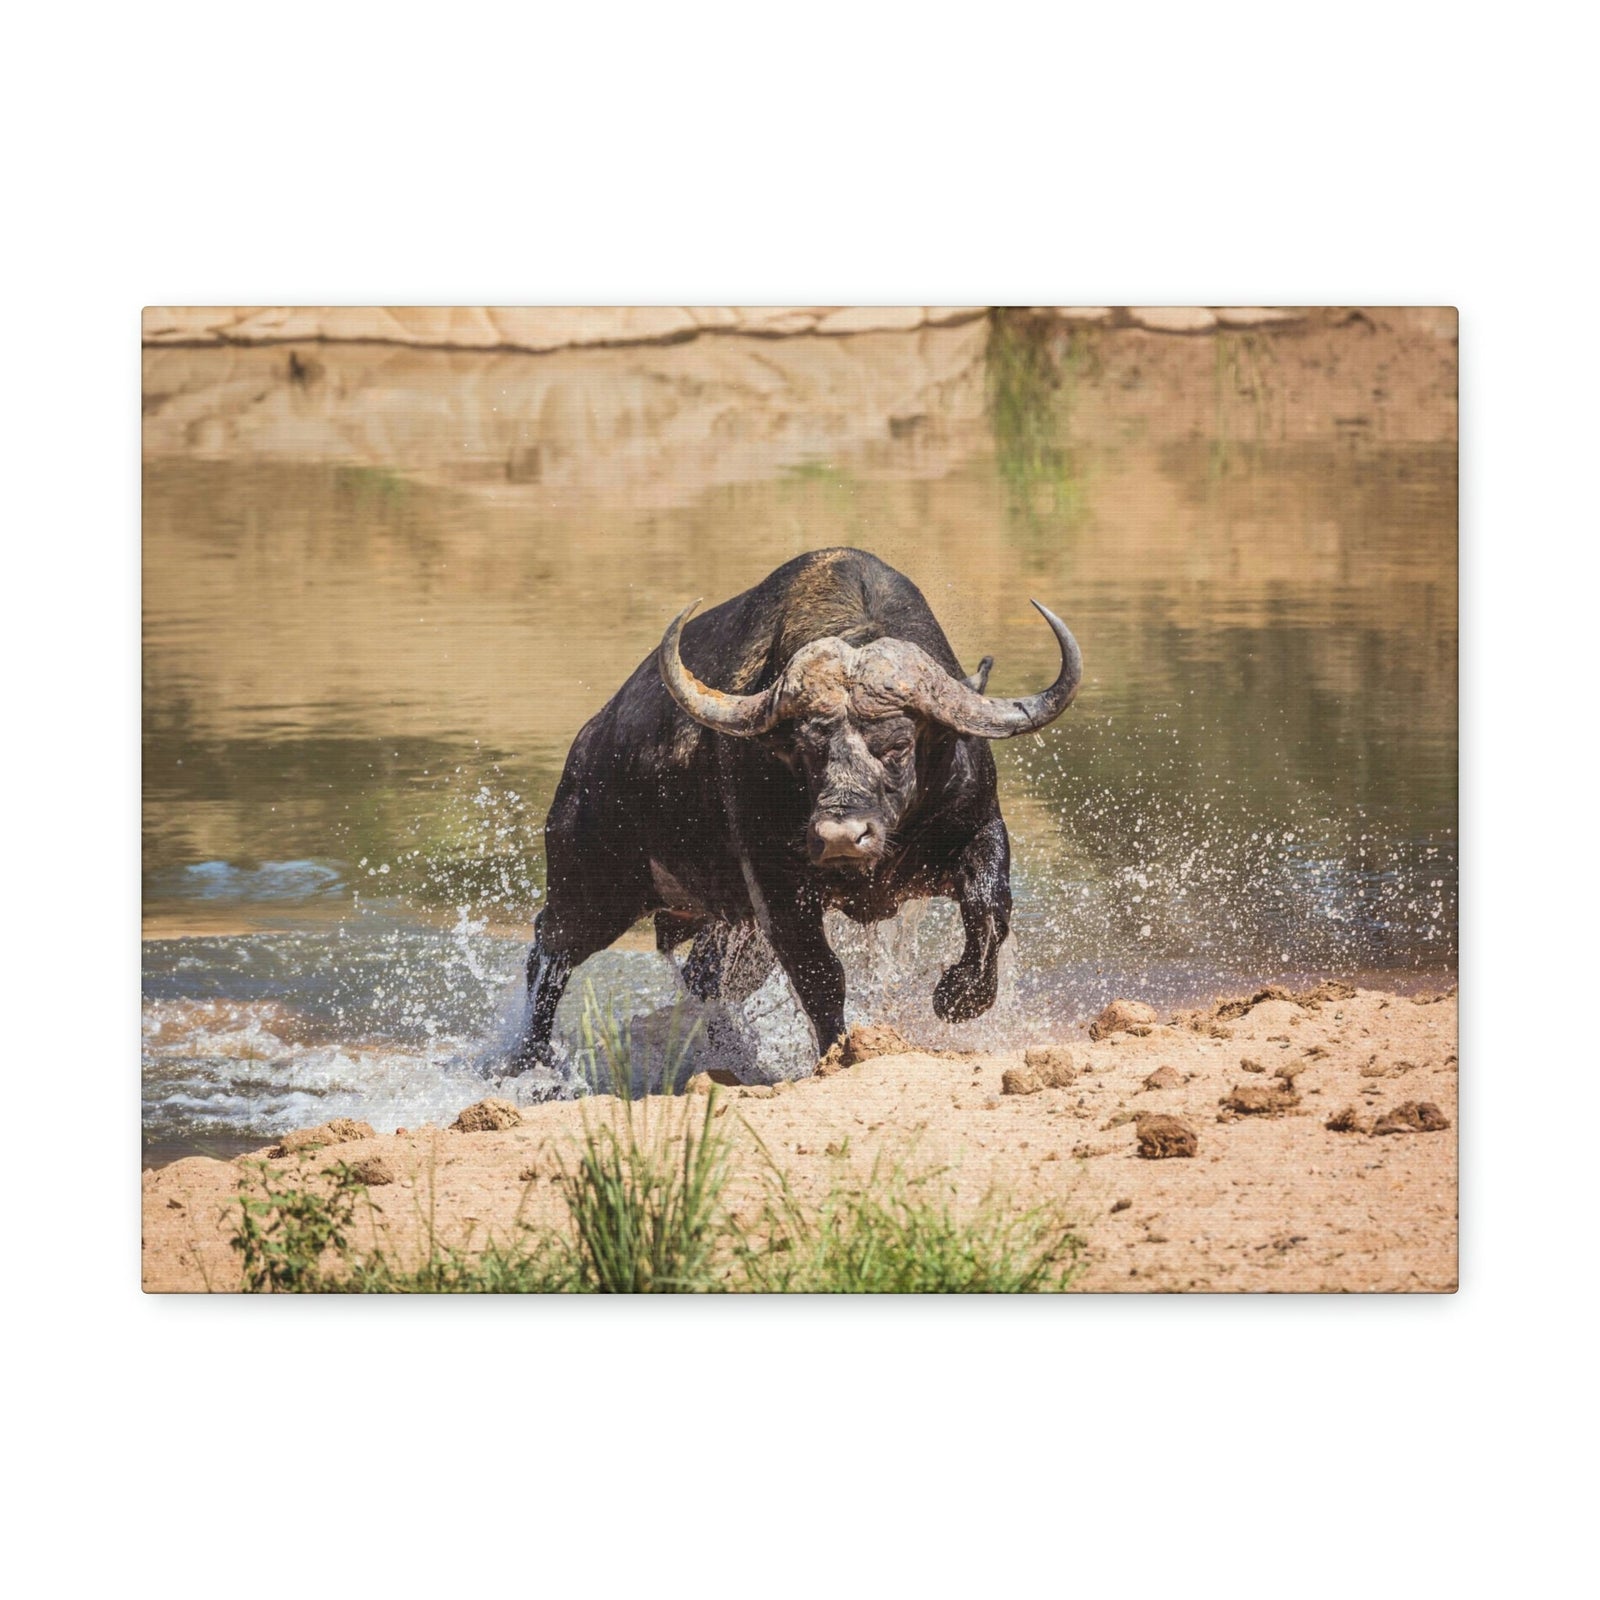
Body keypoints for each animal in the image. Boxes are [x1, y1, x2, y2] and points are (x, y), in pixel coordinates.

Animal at [508, 547, 1081, 1076]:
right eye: (805, 750)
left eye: (898, 745)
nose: (841, 837)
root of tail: (587, 749)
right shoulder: (776, 885)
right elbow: (820, 974)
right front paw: (840, 1053)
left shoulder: (978, 829)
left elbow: (990, 911)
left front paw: (959, 997)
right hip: (592, 891)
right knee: (549, 954)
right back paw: (530, 1063)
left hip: (725, 924)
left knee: (704, 979)